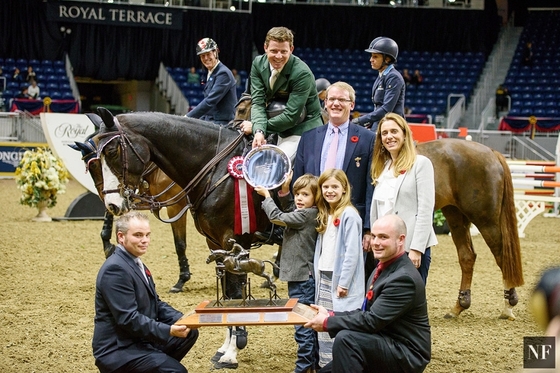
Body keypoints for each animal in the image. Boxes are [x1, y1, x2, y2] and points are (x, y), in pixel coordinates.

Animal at [234, 96, 524, 320]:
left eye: (241, 110)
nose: (240, 129)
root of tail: (491, 152)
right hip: (456, 214)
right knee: (467, 256)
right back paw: (458, 307)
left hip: (484, 217)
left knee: (501, 255)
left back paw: (508, 305)